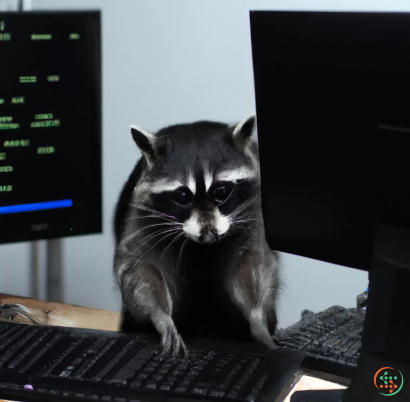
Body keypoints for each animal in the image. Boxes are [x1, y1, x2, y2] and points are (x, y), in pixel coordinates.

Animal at [113, 114, 280, 356]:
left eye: (221, 192)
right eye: (182, 196)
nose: (208, 237)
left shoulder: (254, 207)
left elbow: (252, 259)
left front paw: (257, 319)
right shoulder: (142, 213)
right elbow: (140, 267)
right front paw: (161, 317)